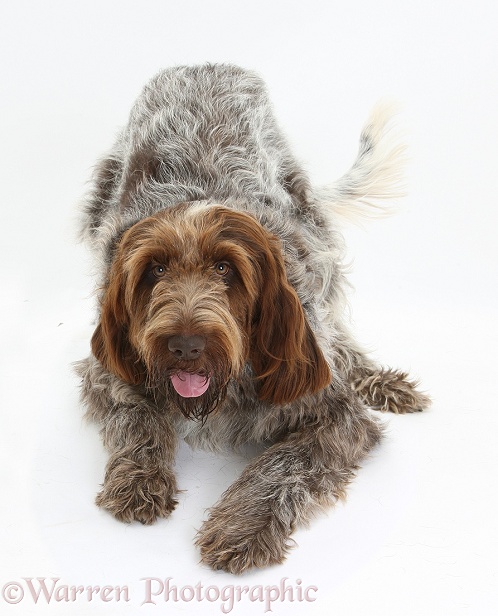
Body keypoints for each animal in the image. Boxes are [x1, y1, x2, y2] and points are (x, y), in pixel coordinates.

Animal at [76, 62, 430, 572]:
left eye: (226, 269)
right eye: (155, 269)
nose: (185, 346)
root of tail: (203, 66)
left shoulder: (333, 413)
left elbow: (283, 464)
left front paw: (240, 527)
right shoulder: (111, 371)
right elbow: (137, 419)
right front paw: (139, 480)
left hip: (313, 236)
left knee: (339, 336)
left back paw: (381, 380)